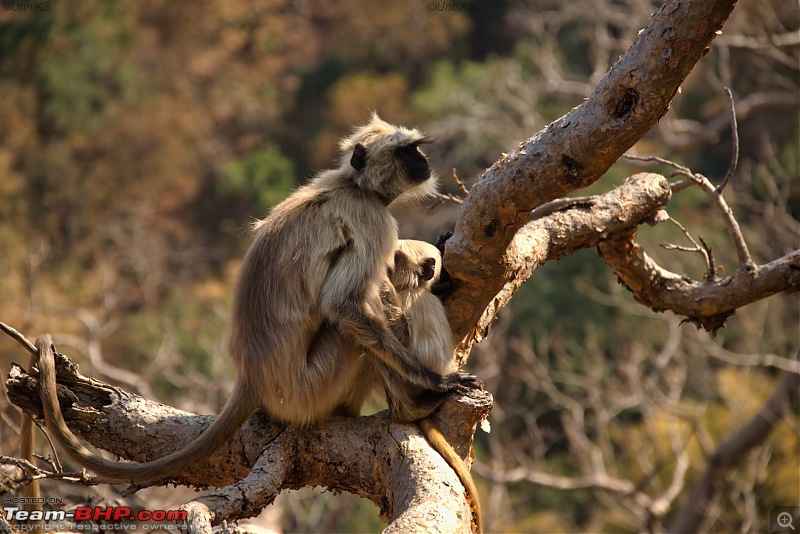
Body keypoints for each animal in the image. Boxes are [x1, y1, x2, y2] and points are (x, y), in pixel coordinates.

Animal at [34, 116, 482, 486]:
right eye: (406, 151)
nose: (423, 159)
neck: (353, 185)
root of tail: (252, 375)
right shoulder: (373, 219)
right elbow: (343, 305)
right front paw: (436, 380)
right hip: (308, 389)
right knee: (353, 324)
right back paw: (407, 409)